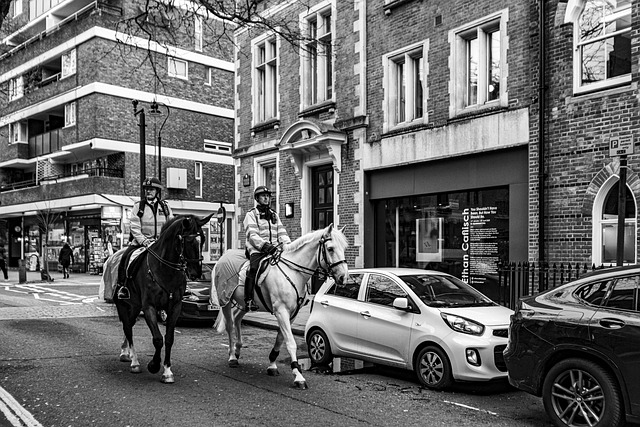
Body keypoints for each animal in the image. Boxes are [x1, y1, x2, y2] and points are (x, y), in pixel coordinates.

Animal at [115, 214, 212, 384]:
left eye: (204, 239)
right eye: (189, 240)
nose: (196, 273)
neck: (165, 270)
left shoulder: (175, 307)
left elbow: (169, 339)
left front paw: (167, 371)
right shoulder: (149, 307)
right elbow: (158, 339)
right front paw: (154, 365)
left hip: (135, 307)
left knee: (129, 327)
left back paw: (126, 353)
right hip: (127, 304)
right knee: (127, 328)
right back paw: (134, 362)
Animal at [212, 226, 348, 390]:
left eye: (344, 248)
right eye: (330, 248)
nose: (343, 277)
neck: (293, 273)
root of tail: (222, 257)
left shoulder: (291, 314)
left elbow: (280, 339)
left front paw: (272, 364)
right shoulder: (281, 311)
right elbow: (290, 342)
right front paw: (298, 376)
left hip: (244, 304)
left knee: (237, 319)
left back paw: (238, 350)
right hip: (225, 300)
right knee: (230, 325)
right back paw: (232, 356)